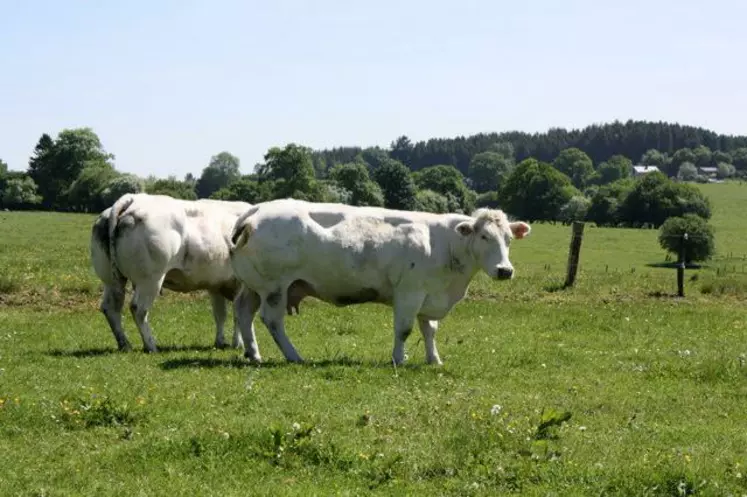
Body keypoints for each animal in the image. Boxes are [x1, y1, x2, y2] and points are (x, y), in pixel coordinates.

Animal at [90, 190, 262, 356]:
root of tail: (133, 199)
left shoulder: (215, 284)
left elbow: (220, 314)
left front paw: (220, 342)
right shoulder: (239, 283)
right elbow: (237, 314)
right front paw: (238, 344)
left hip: (110, 279)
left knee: (110, 307)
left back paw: (125, 344)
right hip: (150, 279)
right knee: (138, 309)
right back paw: (151, 346)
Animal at [228, 198, 532, 364]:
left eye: (508, 239)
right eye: (484, 236)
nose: (505, 270)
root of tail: (257, 210)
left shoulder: (429, 295)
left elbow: (430, 330)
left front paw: (434, 359)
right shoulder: (409, 293)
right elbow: (404, 329)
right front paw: (399, 358)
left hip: (254, 287)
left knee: (244, 312)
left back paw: (254, 354)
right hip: (274, 287)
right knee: (272, 320)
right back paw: (294, 356)